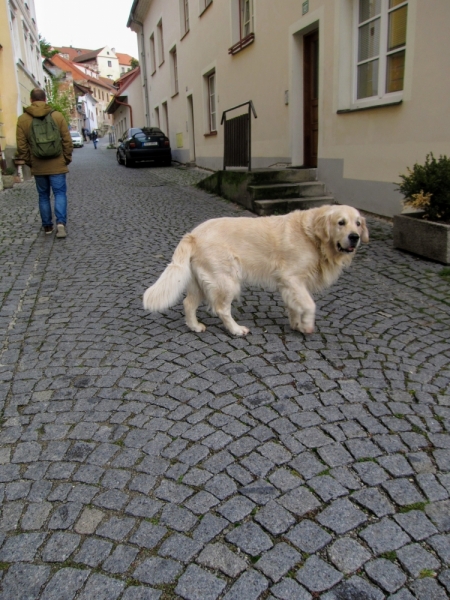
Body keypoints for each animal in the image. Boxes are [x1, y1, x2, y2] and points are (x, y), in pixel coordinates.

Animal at [143, 205, 370, 338]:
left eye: (358, 223)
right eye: (341, 222)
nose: (355, 237)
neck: (313, 236)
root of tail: (193, 234)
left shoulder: (290, 284)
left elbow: (294, 305)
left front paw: (296, 323)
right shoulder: (291, 277)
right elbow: (309, 304)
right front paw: (306, 325)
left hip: (201, 280)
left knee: (188, 303)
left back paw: (195, 326)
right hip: (226, 279)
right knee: (221, 309)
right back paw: (236, 330)